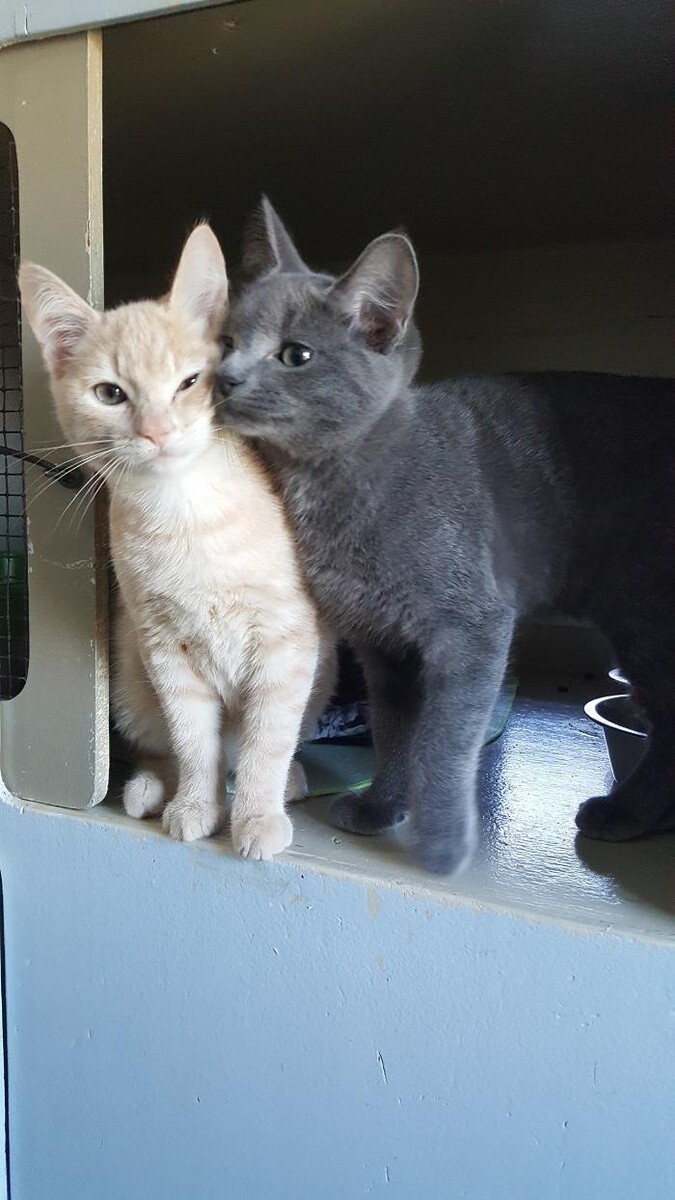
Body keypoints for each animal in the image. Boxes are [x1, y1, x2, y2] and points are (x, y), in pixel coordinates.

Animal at [19, 225, 333, 859]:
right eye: (110, 394)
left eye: (190, 382)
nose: (157, 432)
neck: (186, 517)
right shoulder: (165, 649)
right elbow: (193, 741)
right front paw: (195, 806)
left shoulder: (287, 644)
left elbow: (265, 741)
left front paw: (256, 815)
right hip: (129, 680)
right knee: (160, 745)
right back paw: (149, 787)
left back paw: (288, 781)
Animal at [213, 196, 672, 873]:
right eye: (225, 341)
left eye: (296, 355)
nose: (223, 376)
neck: (330, 489)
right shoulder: (381, 643)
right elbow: (395, 731)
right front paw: (381, 806)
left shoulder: (473, 628)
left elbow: (444, 743)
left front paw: (444, 842)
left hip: (646, 612)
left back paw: (626, 814)